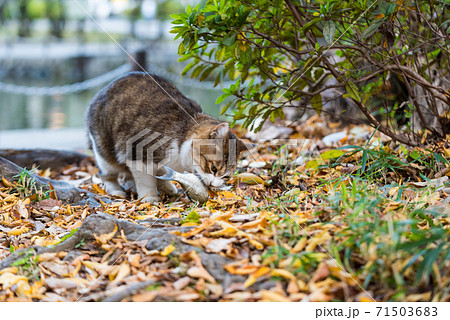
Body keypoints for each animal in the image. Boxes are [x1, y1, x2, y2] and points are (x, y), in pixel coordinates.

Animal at [86, 72, 251, 202]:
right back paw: (116, 190)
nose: (213, 184)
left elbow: (161, 174)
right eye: (213, 168)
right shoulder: (138, 155)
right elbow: (146, 180)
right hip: (103, 151)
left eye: (226, 177)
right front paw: (150, 197)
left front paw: (165, 185)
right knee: (108, 174)